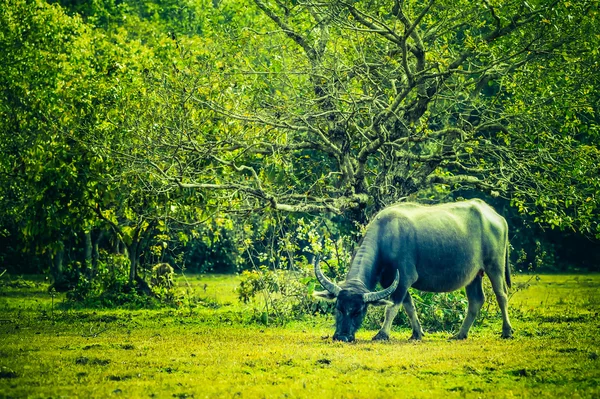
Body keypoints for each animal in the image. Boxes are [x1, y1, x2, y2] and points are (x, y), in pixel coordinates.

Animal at [312, 200, 512, 344]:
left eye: (359, 311)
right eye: (338, 308)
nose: (342, 337)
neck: (385, 237)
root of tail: (496, 216)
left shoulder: (403, 278)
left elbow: (392, 307)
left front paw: (382, 334)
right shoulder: (390, 281)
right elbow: (409, 306)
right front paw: (417, 333)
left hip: (495, 266)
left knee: (501, 295)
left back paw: (507, 331)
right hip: (474, 275)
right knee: (476, 301)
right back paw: (460, 334)